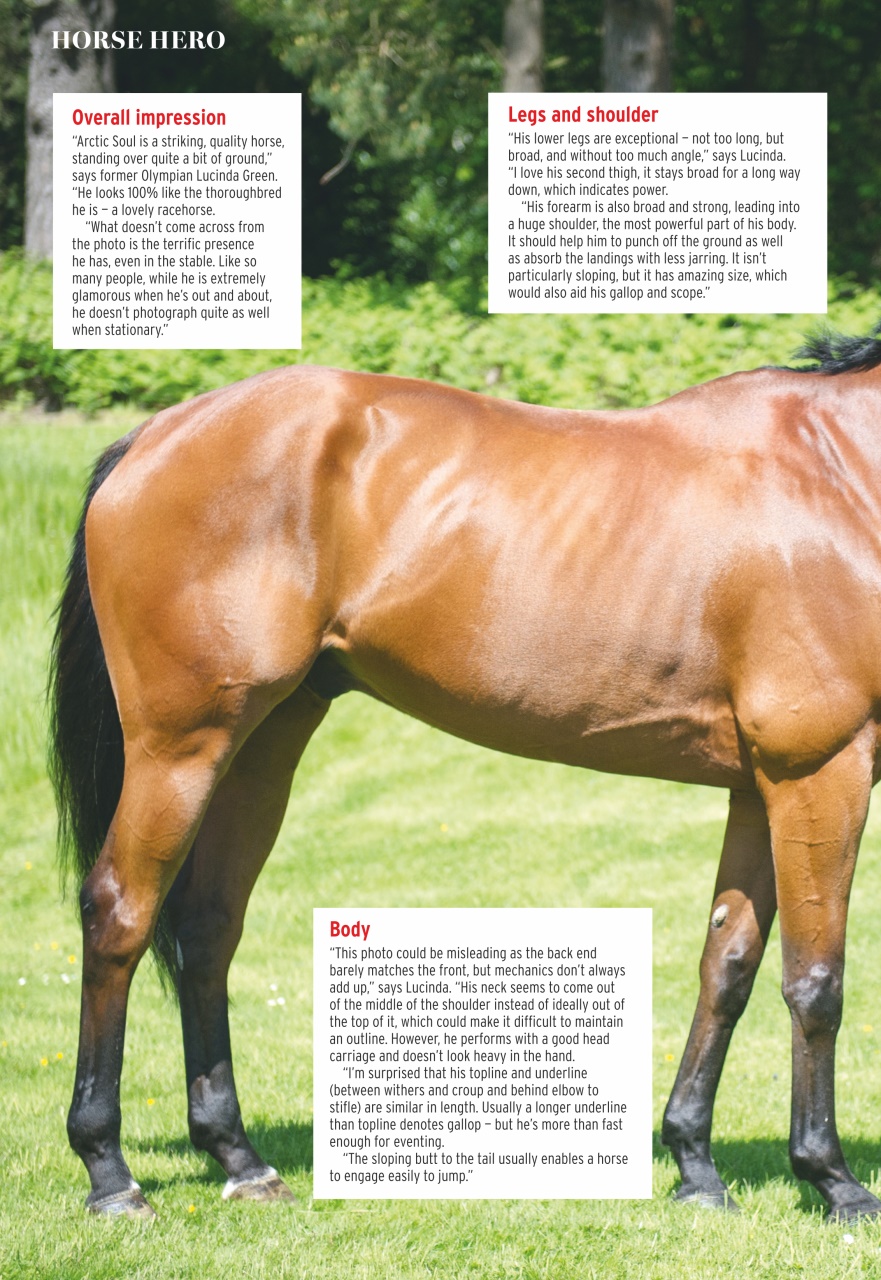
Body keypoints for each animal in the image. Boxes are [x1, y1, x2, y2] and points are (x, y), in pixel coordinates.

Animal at [49, 320, 881, 1221]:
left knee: (206, 928)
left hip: (260, 745)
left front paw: (693, 1165)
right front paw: (832, 1179)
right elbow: (815, 980)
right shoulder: (820, 768)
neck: (842, 473)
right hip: (180, 746)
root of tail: (152, 437)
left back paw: (240, 1158)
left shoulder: (760, 784)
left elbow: (726, 965)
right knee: (120, 914)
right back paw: (109, 1172)